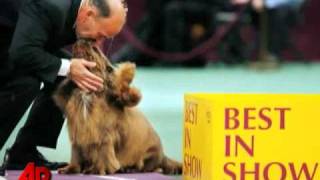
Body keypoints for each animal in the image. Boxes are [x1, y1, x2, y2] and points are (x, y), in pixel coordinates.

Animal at [53, 39, 181, 174]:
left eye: (95, 48)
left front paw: (96, 170)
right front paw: (70, 169)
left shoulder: (104, 134)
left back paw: (130, 169)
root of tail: (163, 156)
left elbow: (103, 154)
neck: (88, 92)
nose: (82, 39)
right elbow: (75, 154)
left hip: (149, 155)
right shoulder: (78, 132)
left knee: (154, 168)